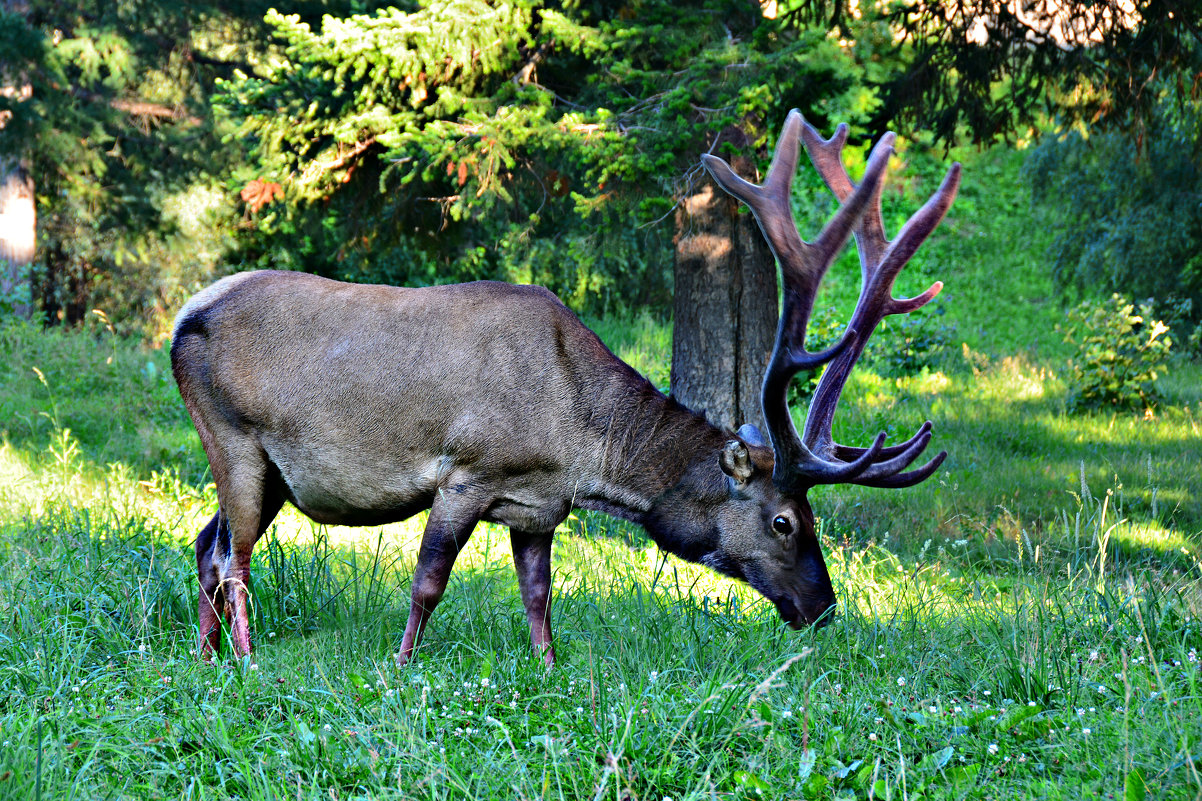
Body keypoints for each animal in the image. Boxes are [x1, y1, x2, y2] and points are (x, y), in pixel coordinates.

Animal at [171, 109, 956, 663]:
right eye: (784, 521)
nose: (823, 606)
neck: (576, 445)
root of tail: (182, 318)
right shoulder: (468, 470)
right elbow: (429, 582)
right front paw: (401, 666)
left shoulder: (539, 507)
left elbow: (539, 598)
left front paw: (548, 670)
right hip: (232, 438)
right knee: (231, 556)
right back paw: (245, 658)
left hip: (273, 472)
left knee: (206, 541)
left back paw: (207, 658)